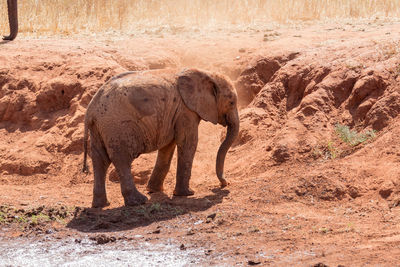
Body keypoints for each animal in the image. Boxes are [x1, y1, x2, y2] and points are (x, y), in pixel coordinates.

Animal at [81, 68, 238, 208]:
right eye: (231, 102)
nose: (224, 183)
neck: (207, 73)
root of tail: (90, 110)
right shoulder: (185, 111)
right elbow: (188, 143)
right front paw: (187, 193)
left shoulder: (173, 114)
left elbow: (168, 146)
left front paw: (154, 190)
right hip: (116, 126)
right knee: (121, 159)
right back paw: (139, 201)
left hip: (99, 129)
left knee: (100, 160)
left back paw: (101, 205)